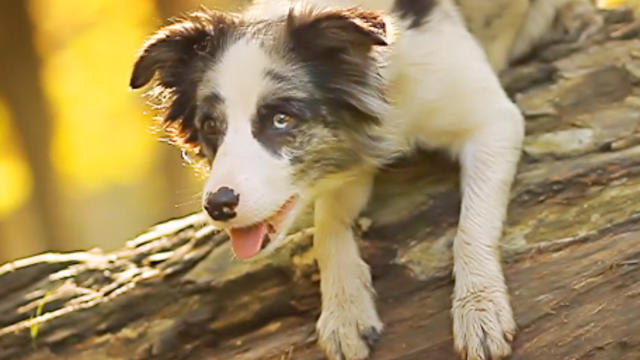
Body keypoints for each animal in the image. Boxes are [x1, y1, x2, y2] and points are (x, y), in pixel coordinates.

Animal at [130, 1, 600, 358]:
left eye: (281, 119)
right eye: (211, 126)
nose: (218, 205)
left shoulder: (492, 122)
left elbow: (471, 227)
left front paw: (479, 309)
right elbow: (327, 230)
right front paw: (344, 312)